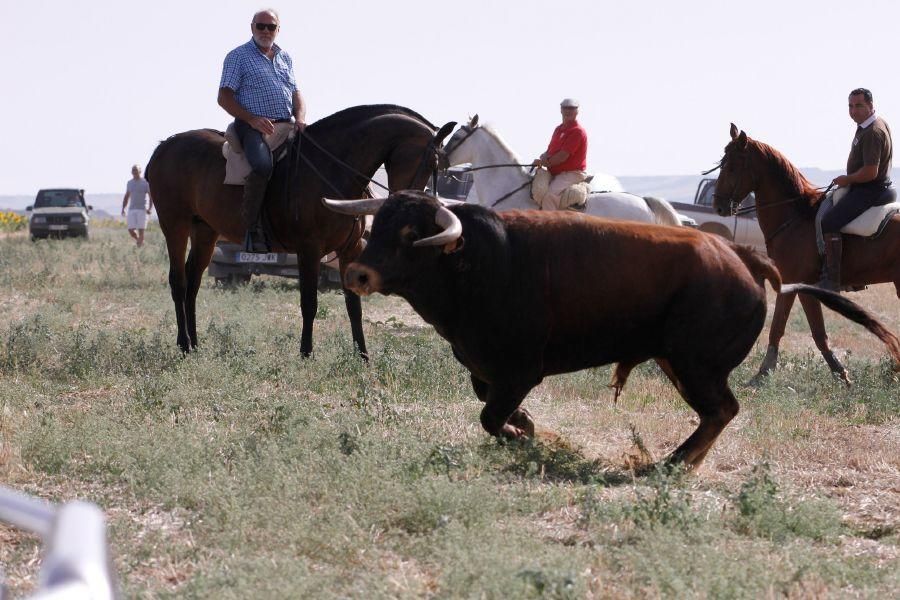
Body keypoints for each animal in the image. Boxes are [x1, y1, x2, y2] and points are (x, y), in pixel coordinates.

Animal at [149, 103, 458, 356]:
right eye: (432, 162)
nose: (407, 203)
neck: (333, 168)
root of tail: (164, 147)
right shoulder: (309, 249)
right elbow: (309, 301)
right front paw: (306, 353)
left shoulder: (350, 249)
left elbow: (353, 304)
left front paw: (362, 356)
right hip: (174, 224)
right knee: (179, 281)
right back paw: (183, 344)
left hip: (205, 231)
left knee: (193, 282)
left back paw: (195, 344)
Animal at [326, 192, 900, 468]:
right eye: (379, 224)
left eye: (410, 233)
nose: (357, 274)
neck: (476, 260)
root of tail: (741, 256)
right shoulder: (485, 370)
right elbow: (496, 409)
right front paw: (529, 430)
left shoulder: (520, 371)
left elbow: (492, 418)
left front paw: (524, 436)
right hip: (680, 362)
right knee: (719, 412)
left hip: (694, 364)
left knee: (723, 410)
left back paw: (675, 463)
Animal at [712, 123, 900, 382]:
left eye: (732, 166)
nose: (718, 206)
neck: (796, 216)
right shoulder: (793, 284)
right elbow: (791, 329)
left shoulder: (800, 284)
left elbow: (801, 330)